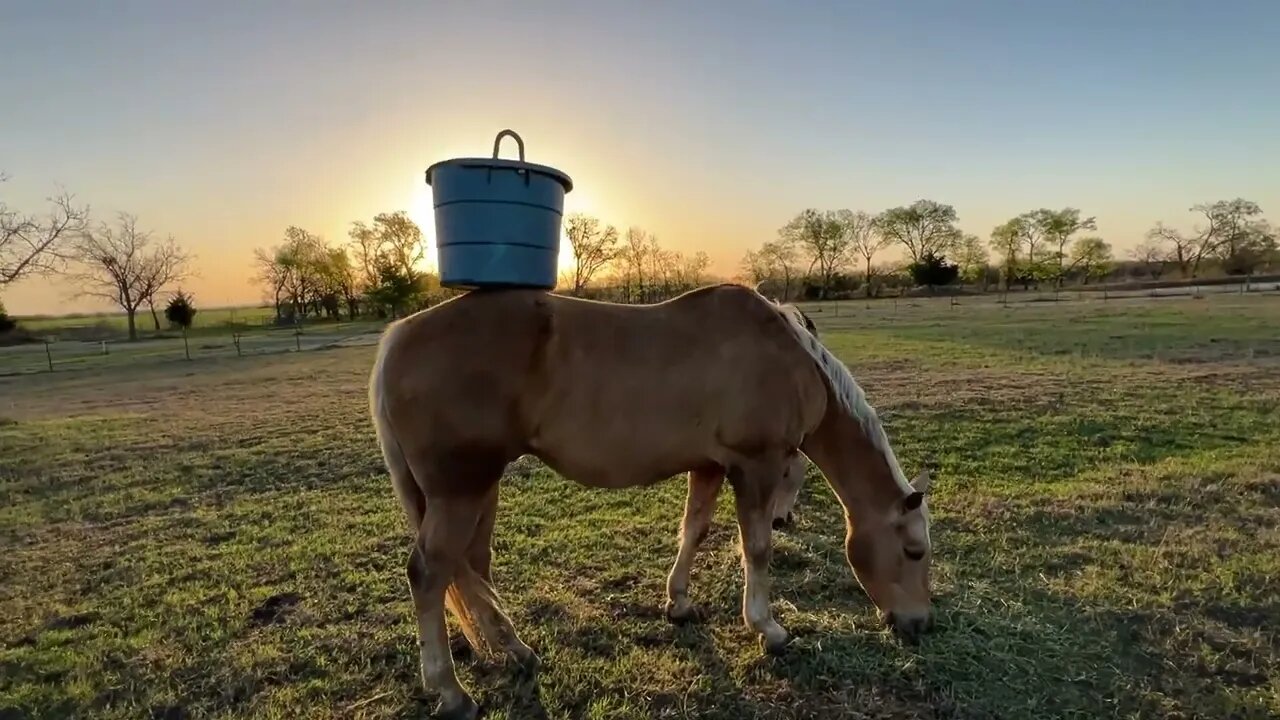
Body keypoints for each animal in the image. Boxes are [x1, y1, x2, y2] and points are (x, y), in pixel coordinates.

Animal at [368, 283, 931, 712]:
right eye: (914, 551)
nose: (921, 625)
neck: (787, 355)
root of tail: (398, 337)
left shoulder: (710, 466)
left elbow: (694, 530)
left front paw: (678, 602)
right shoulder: (758, 465)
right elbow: (757, 548)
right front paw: (767, 628)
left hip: (479, 490)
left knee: (472, 568)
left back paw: (514, 651)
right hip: (460, 492)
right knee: (430, 574)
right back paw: (450, 690)